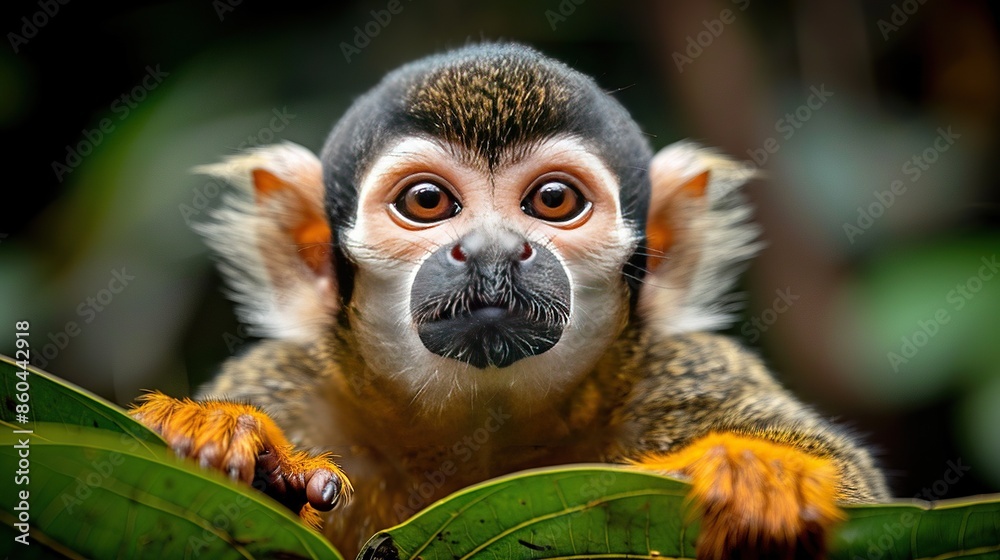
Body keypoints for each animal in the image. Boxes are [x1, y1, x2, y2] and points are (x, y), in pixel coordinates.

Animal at [131, 42, 889, 559]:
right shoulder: (294, 380)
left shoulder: (682, 369)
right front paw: (239, 447)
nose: (492, 251)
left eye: (553, 200)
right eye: (426, 201)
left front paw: (762, 478)